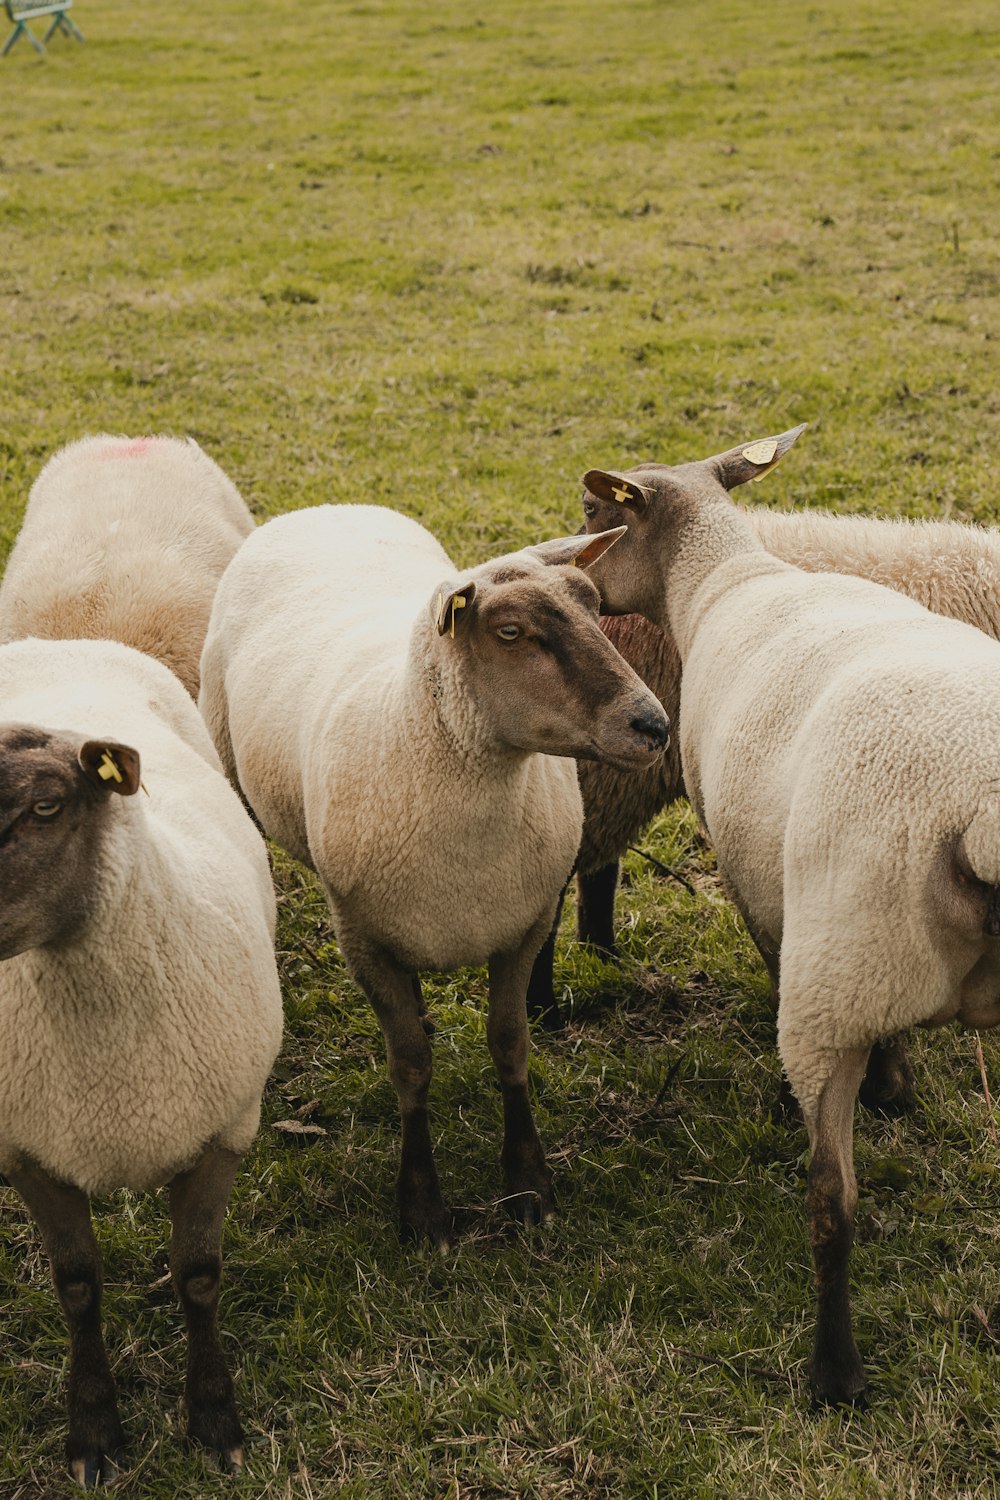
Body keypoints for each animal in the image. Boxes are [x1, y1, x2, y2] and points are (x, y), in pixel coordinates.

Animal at [0, 636, 283, 1488]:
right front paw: (94, 1432)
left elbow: (199, 1276)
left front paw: (216, 1420)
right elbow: (77, 1286)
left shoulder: (224, 1130)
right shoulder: (30, 1152)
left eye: (47, 807)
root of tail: (56, 641)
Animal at [196, 501, 668, 1242]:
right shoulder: (363, 938)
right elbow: (410, 1067)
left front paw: (529, 1185)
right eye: (511, 633)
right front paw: (421, 1208)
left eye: (597, 609)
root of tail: (329, 507)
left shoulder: (524, 926)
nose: (653, 725)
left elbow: (510, 1046)